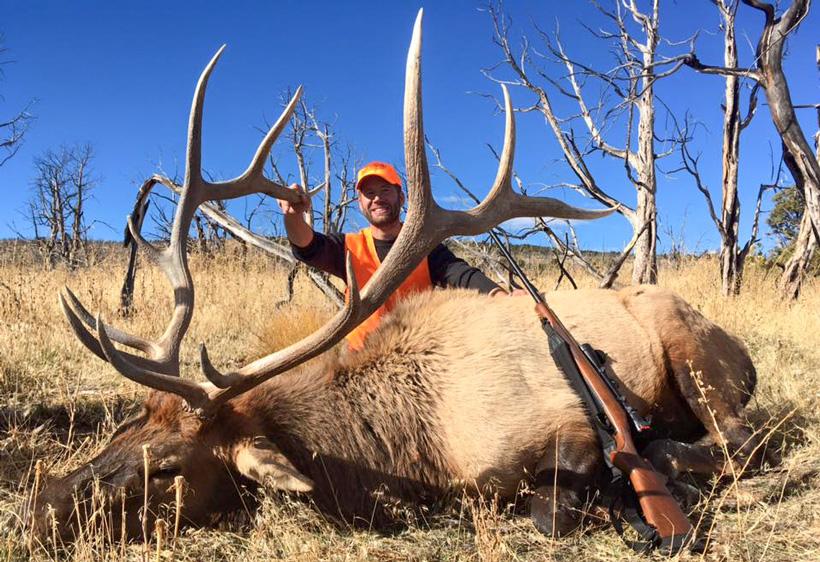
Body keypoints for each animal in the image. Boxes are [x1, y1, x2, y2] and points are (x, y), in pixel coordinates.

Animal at [27, 11, 760, 545]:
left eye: (170, 469)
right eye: (128, 424)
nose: (41, 504)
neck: (410, 446)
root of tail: (745, 356)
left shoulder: (567, 440)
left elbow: (557, 501)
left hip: (697, 360)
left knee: (737, 441)